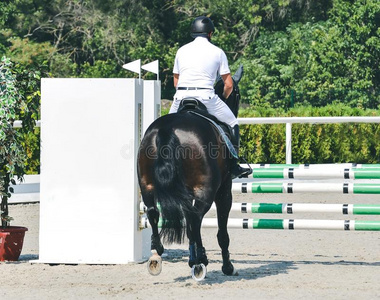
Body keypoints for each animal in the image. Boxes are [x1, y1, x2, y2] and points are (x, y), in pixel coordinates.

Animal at [137, 66, 243, 282]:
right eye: (237, 94)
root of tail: (167, 129)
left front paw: (192, 257)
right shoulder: (224, 190)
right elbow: (221, 231)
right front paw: (226, 266)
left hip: (146, 184)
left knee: (153, 212)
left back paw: (156, 254)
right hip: (206, 191)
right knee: (196, 217)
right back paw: (201, 260)